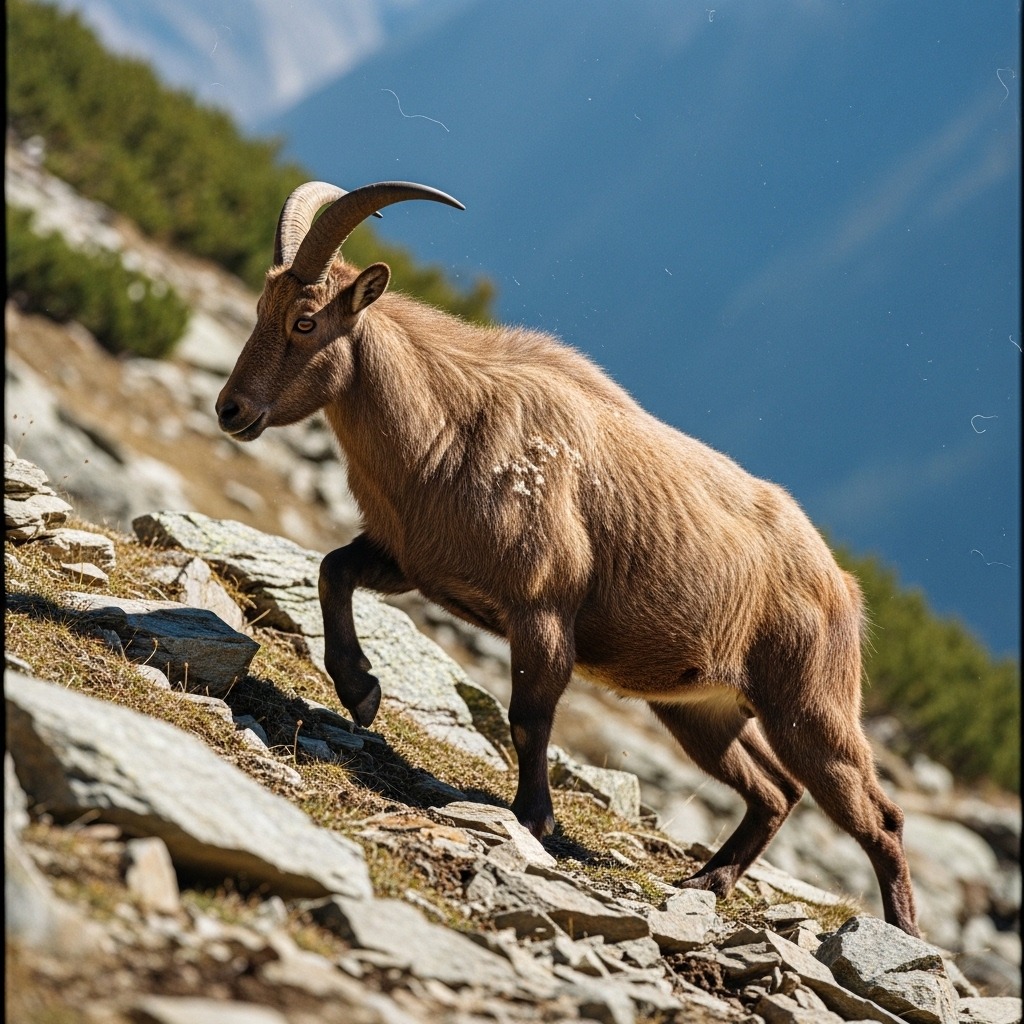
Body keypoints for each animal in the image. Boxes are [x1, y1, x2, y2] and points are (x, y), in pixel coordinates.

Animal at [217, 180, 919, 936]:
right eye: (263, 310)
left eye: (306, 321)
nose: (231, 410)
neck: (445, 428)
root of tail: (842, 584)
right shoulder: (412, 562)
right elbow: (333, 569)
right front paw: (361, 691)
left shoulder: (542, 609)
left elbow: (529, 717)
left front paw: (534, 819)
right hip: (701, 709)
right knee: (776, 790)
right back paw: (709, 879)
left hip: (810, 708)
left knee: (878, 815)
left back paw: (904, 938)